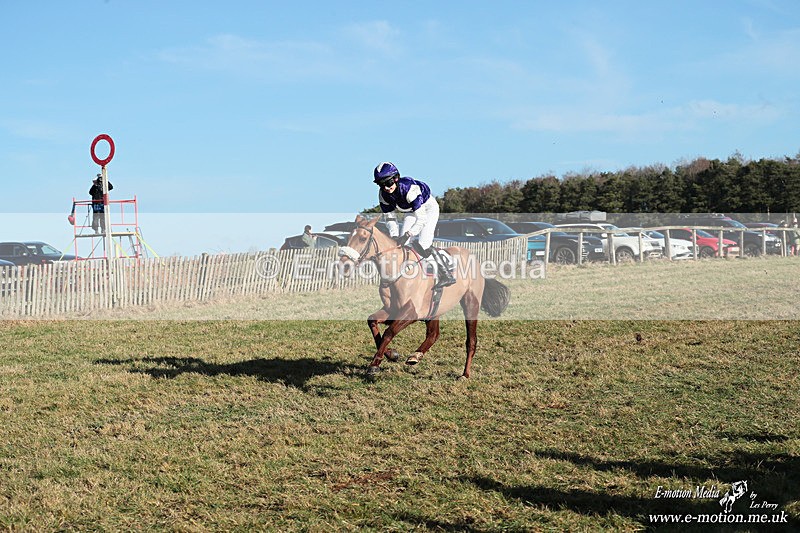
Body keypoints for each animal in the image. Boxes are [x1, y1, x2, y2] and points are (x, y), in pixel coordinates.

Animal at [338, 215, 510, 379]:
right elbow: (372, 321)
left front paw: (374, 365)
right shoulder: (392, 309)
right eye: (348, 238)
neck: (398, 270)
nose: (344, 265)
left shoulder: (411, 312)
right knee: (434, 334)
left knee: (471, 340)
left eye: (362, 238)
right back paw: (416, 355)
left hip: (471, 304)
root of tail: (475, 259)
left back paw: (465, 374)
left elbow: (388, 332)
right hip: (434, 309)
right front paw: (391, 354)